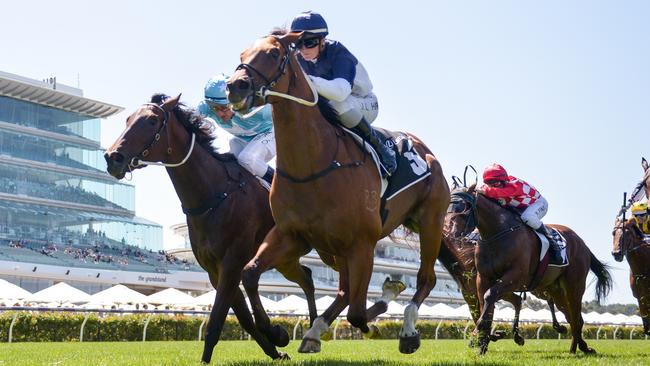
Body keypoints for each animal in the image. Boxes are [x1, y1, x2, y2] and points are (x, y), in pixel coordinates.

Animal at [442, 184, 612, 354]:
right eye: (448, 204)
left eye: (465, 206)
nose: (449, 232)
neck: (497, 235)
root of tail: (583, 244)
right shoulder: (483, 279)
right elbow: (486, 303)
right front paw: (483, 342)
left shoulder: (516, 276)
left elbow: (490, 296)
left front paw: (480, 334)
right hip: (556, 290)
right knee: (572, 317)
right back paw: (580, 347)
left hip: (574, 286)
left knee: (576, 317)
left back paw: (574, 348)